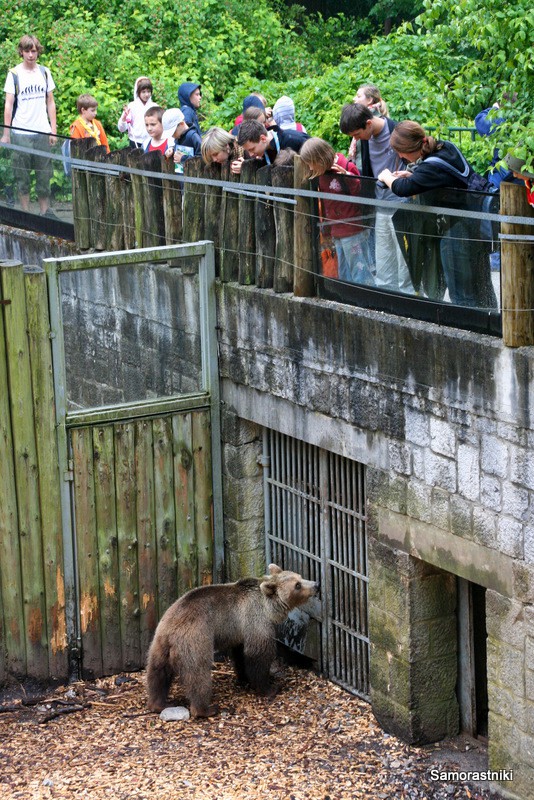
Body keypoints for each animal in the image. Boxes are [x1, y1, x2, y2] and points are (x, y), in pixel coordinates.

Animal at [147, 564, 320, 716]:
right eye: (297, 585)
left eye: (300, 576)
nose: (316, 585)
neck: (268, 607)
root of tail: (172, 630)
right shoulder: (256, 620)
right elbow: (258, 654)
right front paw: (270, 687)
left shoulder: (240, 632)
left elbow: (241, 655)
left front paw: (245, 678)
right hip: (196, 639)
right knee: (198, 674)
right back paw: (206, 709)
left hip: (159, 643)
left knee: (157, 673)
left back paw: (159, 703)